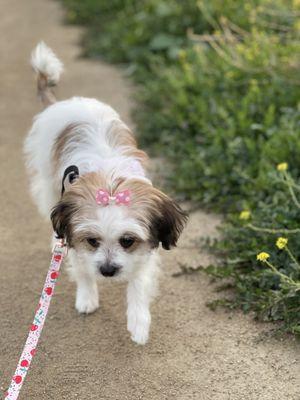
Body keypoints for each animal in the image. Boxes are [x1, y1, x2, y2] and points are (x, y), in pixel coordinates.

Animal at [24, 43, 188, 344]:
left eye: (127, 241)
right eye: (92, 241)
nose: (108, 271)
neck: (109, 181)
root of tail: (61, 103)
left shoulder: (145, 248)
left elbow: (138, 283)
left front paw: (138, 322)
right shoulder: (75, 234)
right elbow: (82, 269)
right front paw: (87, 297)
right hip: (48, 182)